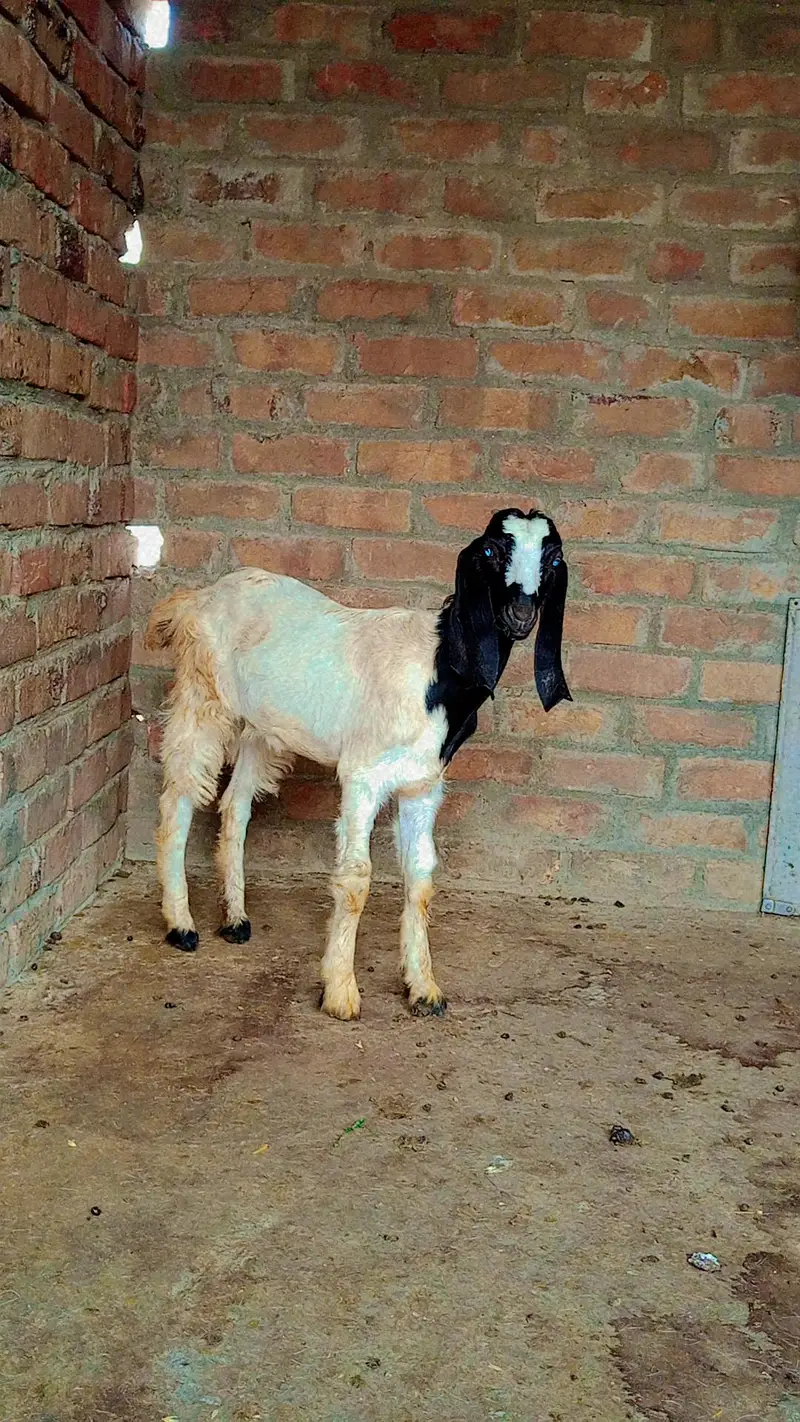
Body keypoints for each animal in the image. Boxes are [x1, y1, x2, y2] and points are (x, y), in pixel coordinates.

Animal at [145, 508, 571, 1020]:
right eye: (490, 549)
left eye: (553, 557)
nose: (521, 614)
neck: (435, 667)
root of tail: (197, 598)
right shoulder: (363, 776)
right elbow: (356, 879)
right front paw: (341, 991)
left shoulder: (422, 785)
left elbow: (420, 877)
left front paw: (424, 988)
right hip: (203, 697)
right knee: (178, 797)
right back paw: (181, 925)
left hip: (261, 730)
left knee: (235, 805)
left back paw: (236, 919)